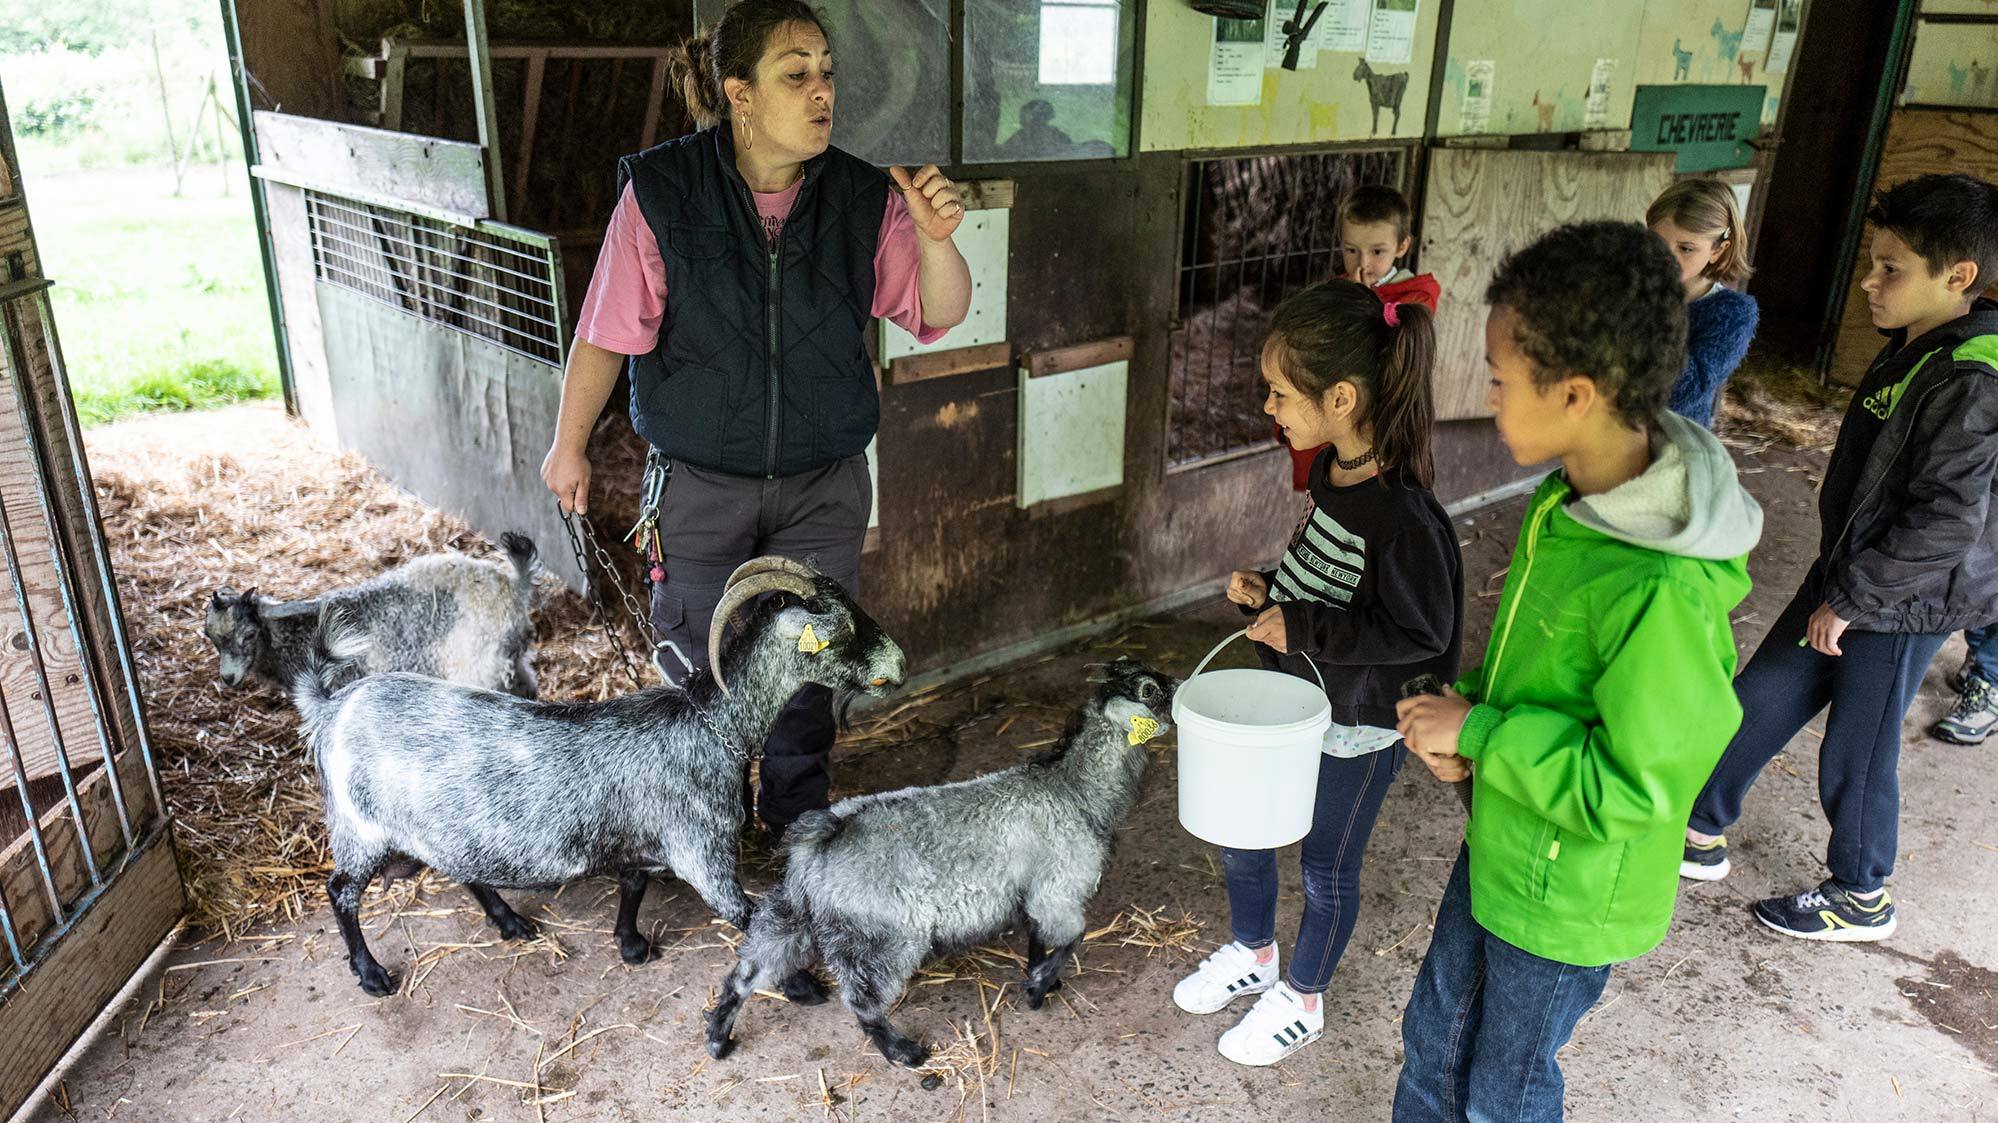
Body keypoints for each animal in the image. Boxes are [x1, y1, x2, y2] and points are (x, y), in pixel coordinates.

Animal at [202, 527, 539, 695]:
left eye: (248, 634)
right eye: (210, 636)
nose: (228, 678)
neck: (294, 634)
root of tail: (514, 585)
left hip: (476, 667)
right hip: (508, 664)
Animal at [289, 555, 907, 991]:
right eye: (841, 628)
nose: (899, 665)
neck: (709, 726)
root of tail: (330, 705)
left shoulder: (647, 840)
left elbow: (633, 884)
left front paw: (630, 945)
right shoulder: (701, 853)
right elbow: (746, 916)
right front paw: (801, 984)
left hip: (438, 826)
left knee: (459, 865)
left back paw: (509, 922)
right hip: (359, 829)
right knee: (340, 892)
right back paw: (372, 975)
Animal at [707, 659, 1166, 1063]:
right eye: (1149, 689)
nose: (1177, 686)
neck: (1073, 791)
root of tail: (824, 837)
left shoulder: (1036, 892)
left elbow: (1037, 937)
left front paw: (1040, 979)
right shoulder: (1061, 887)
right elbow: (1073, 937)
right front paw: (1038, 990)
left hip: (792, 912)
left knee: (747, 972)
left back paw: (718, 1038)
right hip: (886, 934)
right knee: (860, 998)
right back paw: (902, 1051)